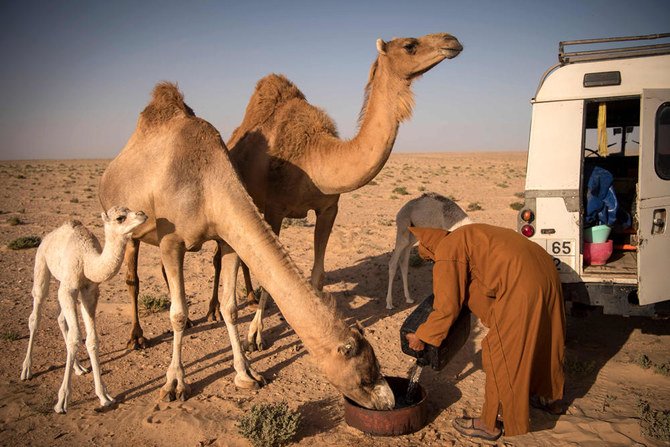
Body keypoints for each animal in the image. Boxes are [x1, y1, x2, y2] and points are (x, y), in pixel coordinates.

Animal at [20, 206, 147, 412]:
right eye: (120, 218)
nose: (143, 214)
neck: (87, 260)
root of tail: (48, 236)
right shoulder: (69, 289)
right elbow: (75, 337)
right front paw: (62, 401)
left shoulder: (90, 291)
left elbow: (92, 339)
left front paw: (104, 396)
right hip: (41, 265)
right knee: (35, 315)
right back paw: (26, 370)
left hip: (63, 282)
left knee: (61, 319)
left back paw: (78, 368)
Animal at [97, 82, 396, 412]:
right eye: (365, 377)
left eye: (377, 366)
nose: (389, 402)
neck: (206, 183)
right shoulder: (171, 240)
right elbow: (176, 313)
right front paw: (175, 383)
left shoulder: (228, 239)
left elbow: (230, 307)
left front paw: (246, 373)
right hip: (128, 229)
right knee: (133, 278)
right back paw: (137, 337)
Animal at [218, 33, 464, 352]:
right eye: (410, 45)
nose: (452, 40)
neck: (314, 158)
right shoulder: (274, 210)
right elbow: (268, 270)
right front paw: (255, 336)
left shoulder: (328, 209)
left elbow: (318, 272)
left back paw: (249, 295)